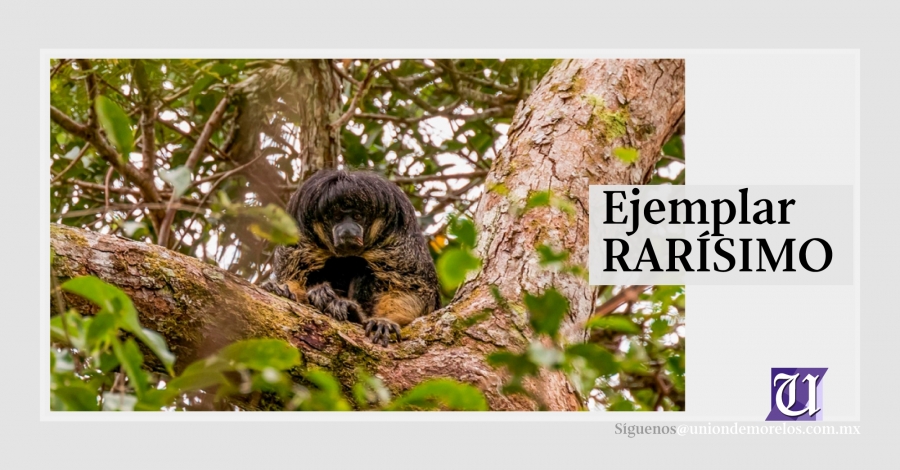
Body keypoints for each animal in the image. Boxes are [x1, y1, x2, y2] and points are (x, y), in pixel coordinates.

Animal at [263, 170, 441, 346]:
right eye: (336, 216)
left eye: (357, 216)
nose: (347, 229)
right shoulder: (301, 231)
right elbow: (295, 275)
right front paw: (285, 290)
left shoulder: (398, 233)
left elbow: (412, 288)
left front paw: (384, 322)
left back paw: (351, 312)